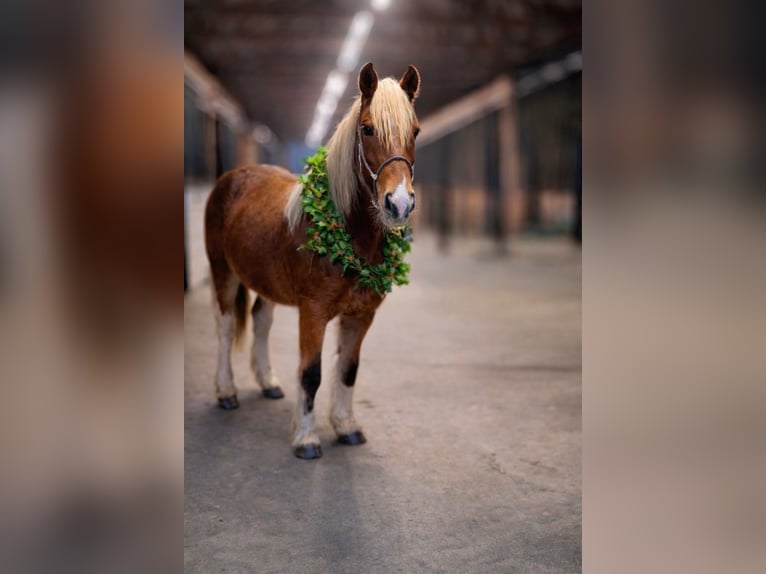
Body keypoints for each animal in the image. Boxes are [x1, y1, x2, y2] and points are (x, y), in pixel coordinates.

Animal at [204, 63, 421, 459]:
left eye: (415, 131)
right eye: (367, 129)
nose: (398, 204)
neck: (350, 238)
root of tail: (233, 177)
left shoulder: (361, 315)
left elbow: (348, 370)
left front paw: (347, 427)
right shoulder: (313, 313)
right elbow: (311, 373)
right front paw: (306, 438)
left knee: (261, 320)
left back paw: (268, 383)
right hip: (222, 272)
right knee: (225, 326)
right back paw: (226, 392)